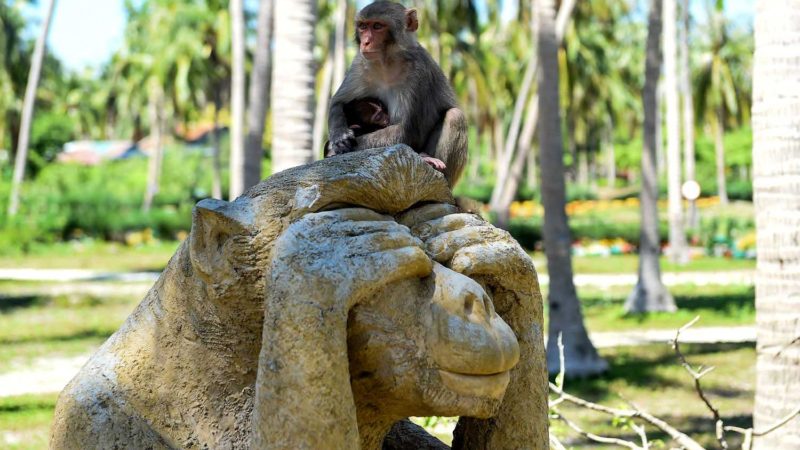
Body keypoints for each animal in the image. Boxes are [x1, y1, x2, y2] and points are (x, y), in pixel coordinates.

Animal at [326, 0, 468, 186]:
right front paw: (339, 137)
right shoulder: (359, 63)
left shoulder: (419, 72)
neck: (387, 62)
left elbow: (406, 132)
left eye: (377, 26)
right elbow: (338, 102)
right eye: (363, 27)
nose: (366, 42)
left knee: (455, 116)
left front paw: (331, 149)